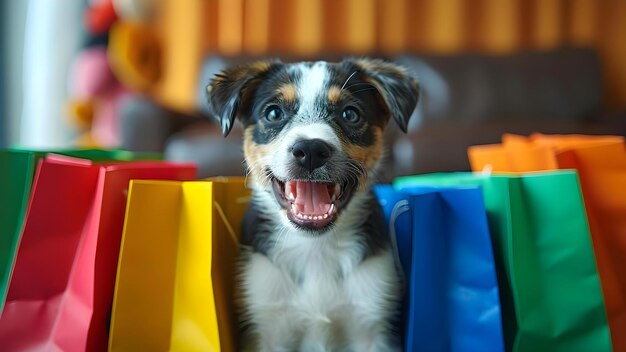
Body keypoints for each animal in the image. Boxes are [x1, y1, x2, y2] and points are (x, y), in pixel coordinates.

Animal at [207, 59, 416, 350]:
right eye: (273, 113)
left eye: (350, 114)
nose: (310, 151)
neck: (315, 248)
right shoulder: (264, 325)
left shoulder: (374, 325)